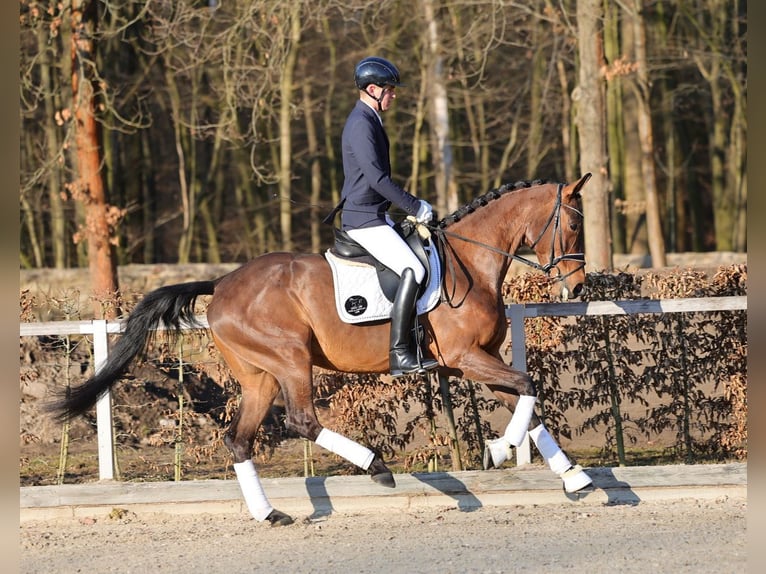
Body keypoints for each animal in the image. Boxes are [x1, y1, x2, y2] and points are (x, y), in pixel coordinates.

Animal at [49, 173, 594, 526]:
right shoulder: (466, 360)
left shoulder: (479, 361)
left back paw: (269, 513)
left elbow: (528, 402)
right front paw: (499, 451)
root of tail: (222, 283)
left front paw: (574, 479)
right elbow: (529, 385)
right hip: (290, 360)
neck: (471, 261)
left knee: (239, 439)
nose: (578, 287)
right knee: (302, 421)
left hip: (259, 376)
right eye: (573, 225)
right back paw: (376, 467)